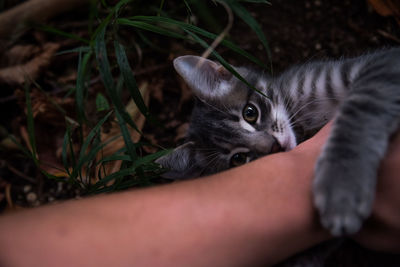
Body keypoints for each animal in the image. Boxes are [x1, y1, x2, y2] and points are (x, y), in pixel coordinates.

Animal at [155, 48, 400, 237]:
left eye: (250, 113)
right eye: (238, 159)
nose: (274, 146)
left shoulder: (381, 65)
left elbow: (361, 108)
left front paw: (342, 188)